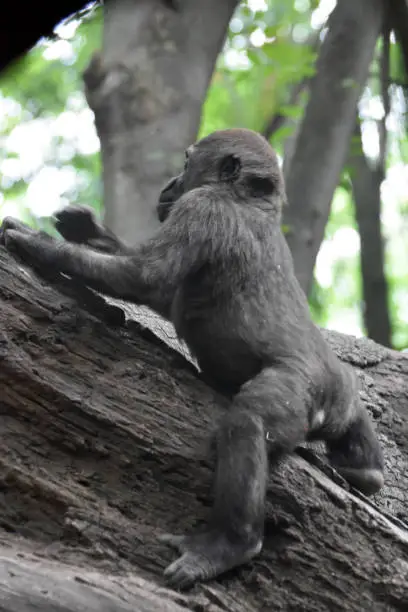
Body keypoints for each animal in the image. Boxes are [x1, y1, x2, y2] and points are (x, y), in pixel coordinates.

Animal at [0, 128, 382, 588]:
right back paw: (366, 468)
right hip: (338, 394)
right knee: (350, 399)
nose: (170, 184)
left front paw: (37, 244)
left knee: (247, 425)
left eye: (186, 163)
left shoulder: (201, 208)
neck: (249, 199)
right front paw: (86, 228)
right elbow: (155, 290)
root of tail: (327, 397)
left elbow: (142, 277)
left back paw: (229, 545)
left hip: (300, 391)